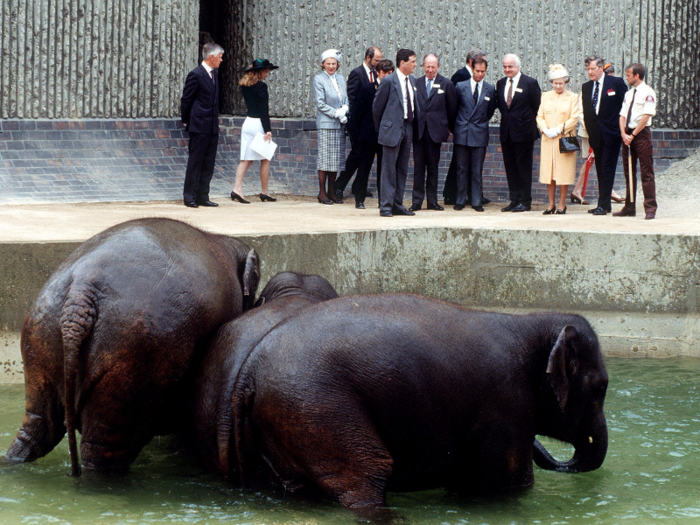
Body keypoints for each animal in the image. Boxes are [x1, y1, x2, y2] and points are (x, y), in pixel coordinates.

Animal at [221, 294, 608, 512]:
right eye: (599, 388)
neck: (531, 324)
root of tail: (248, 372)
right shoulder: (507, 406)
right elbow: (509, 482)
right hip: (315, 409)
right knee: (366, 474)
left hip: (285, 418)